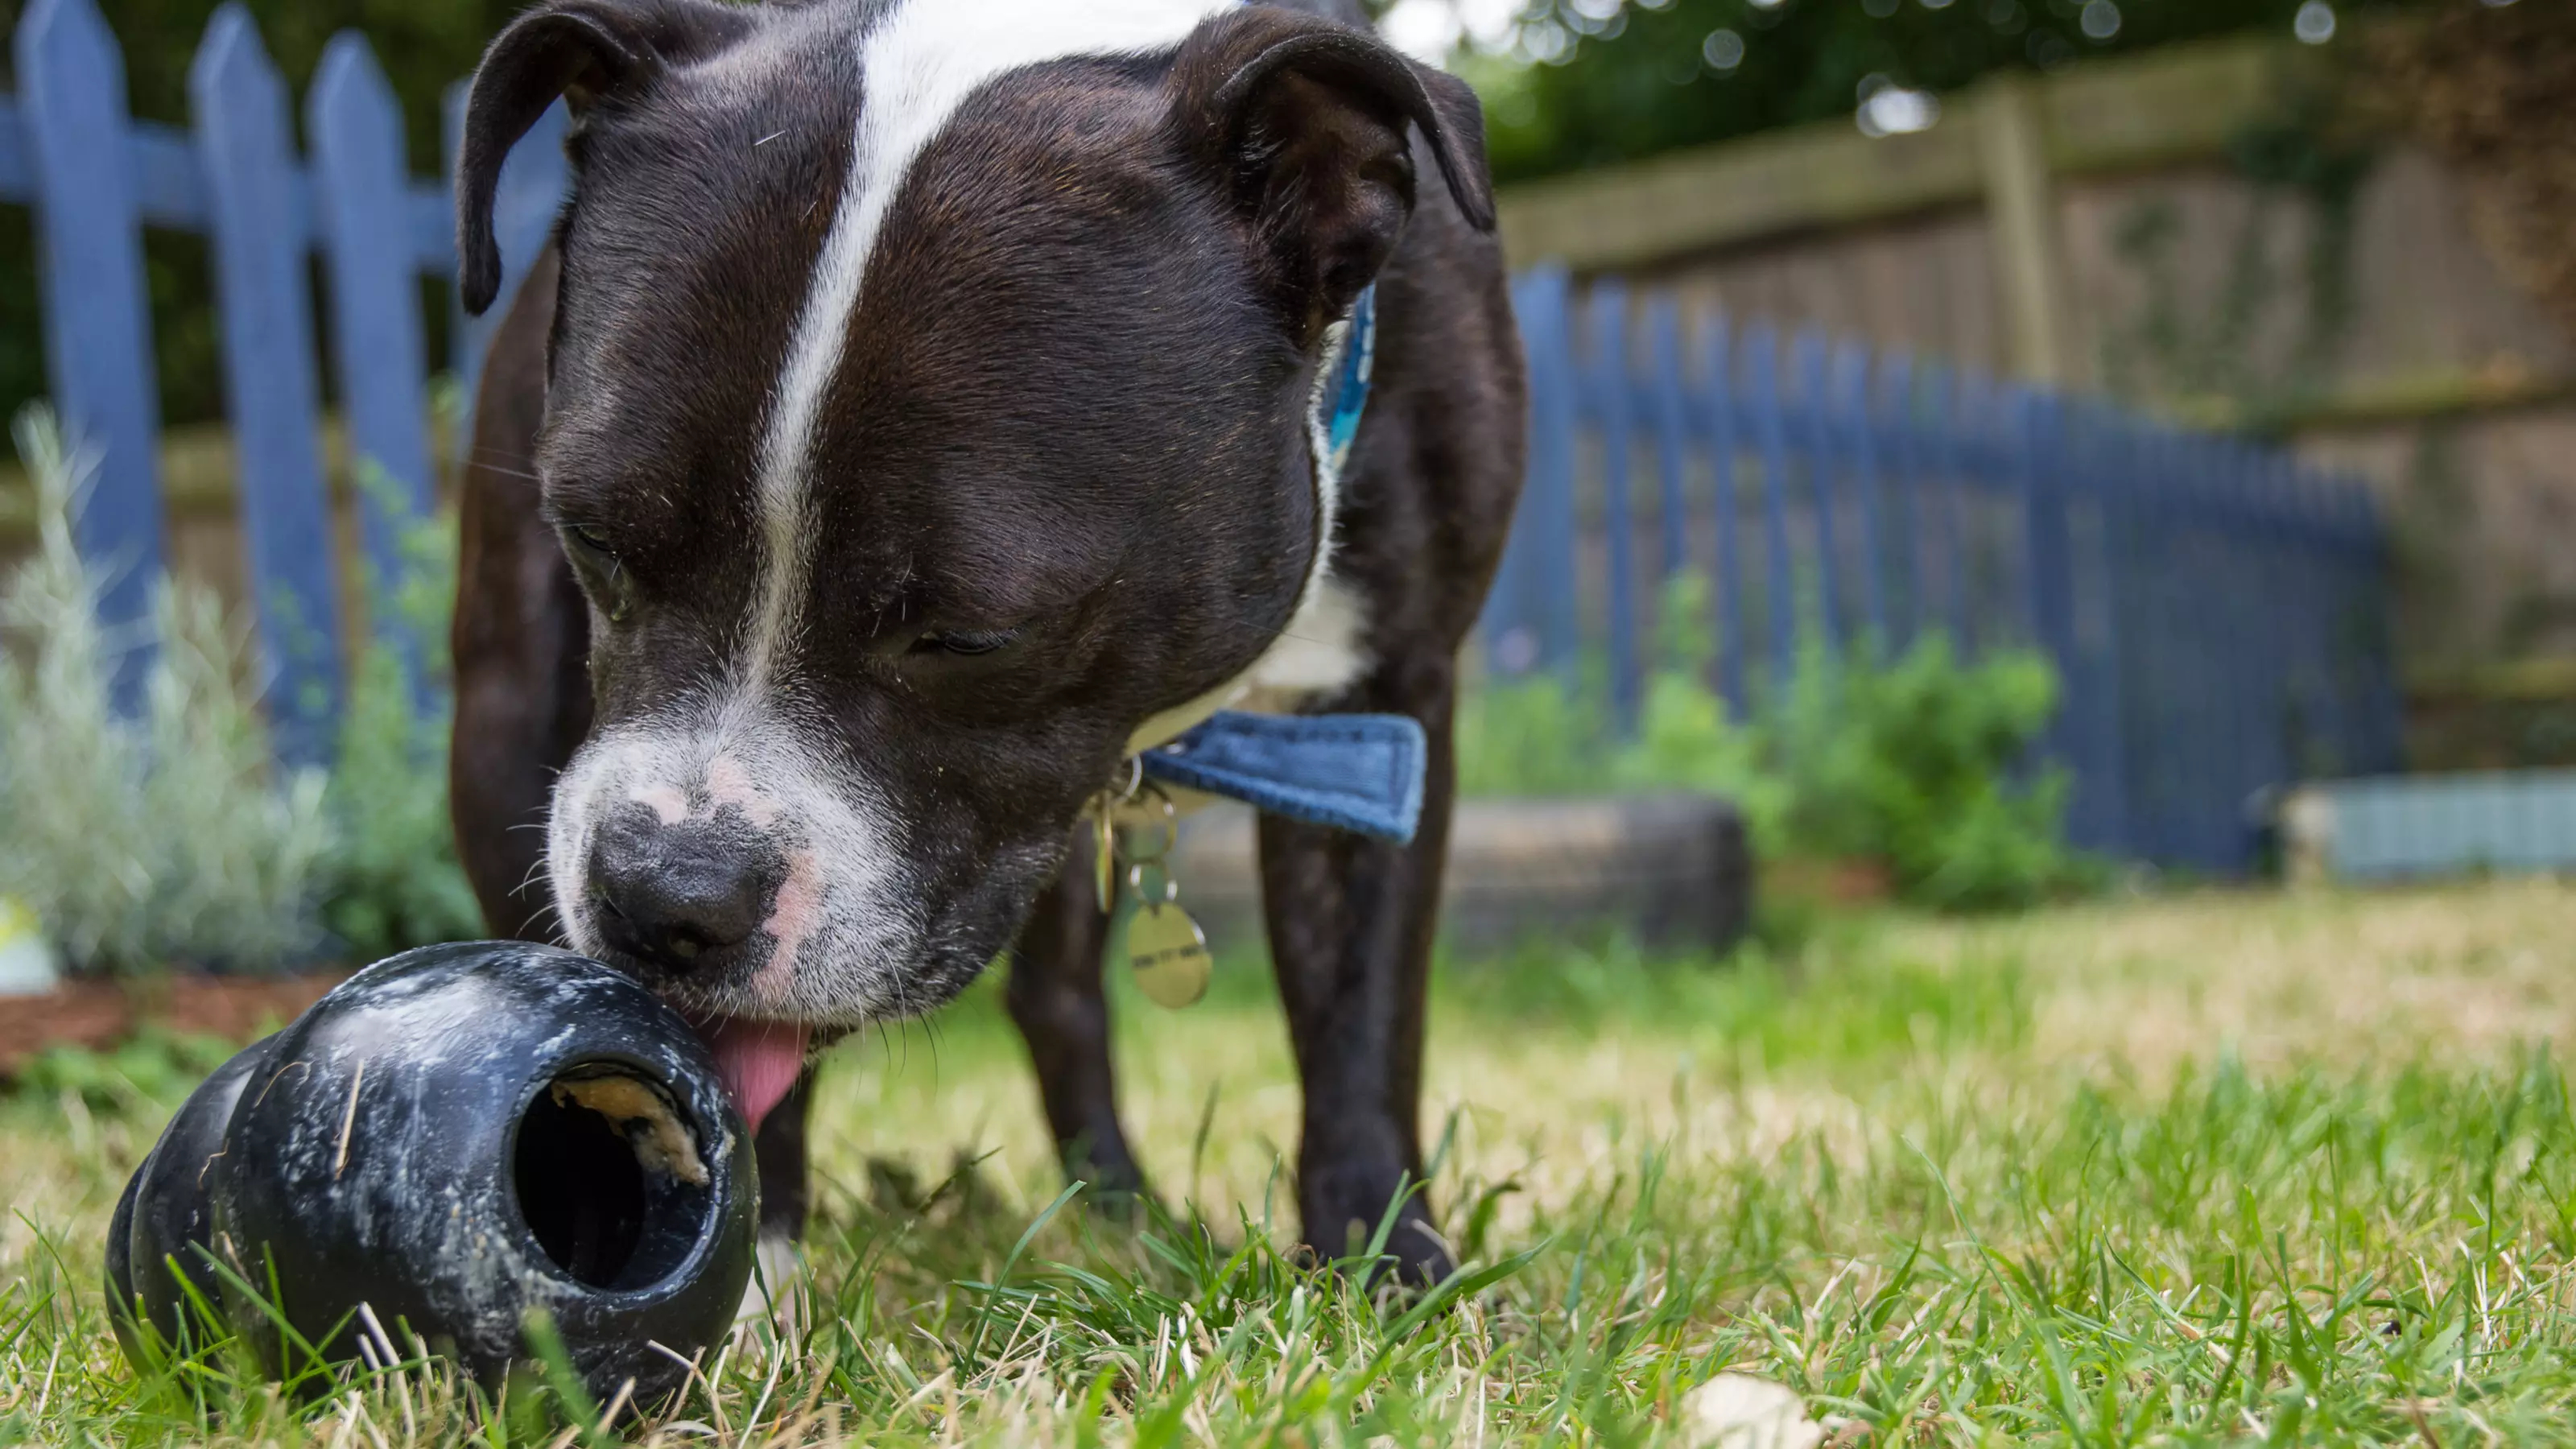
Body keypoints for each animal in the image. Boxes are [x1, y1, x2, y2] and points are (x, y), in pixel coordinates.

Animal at [451, 0, 1514, 1278]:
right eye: (596, 541)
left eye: (968, 636)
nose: (667, 892)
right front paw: (746, 1274)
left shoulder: (1381, 718)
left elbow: (1360, 1019)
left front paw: (1385, 1267)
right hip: (502, 726)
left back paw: (1117, 1214)